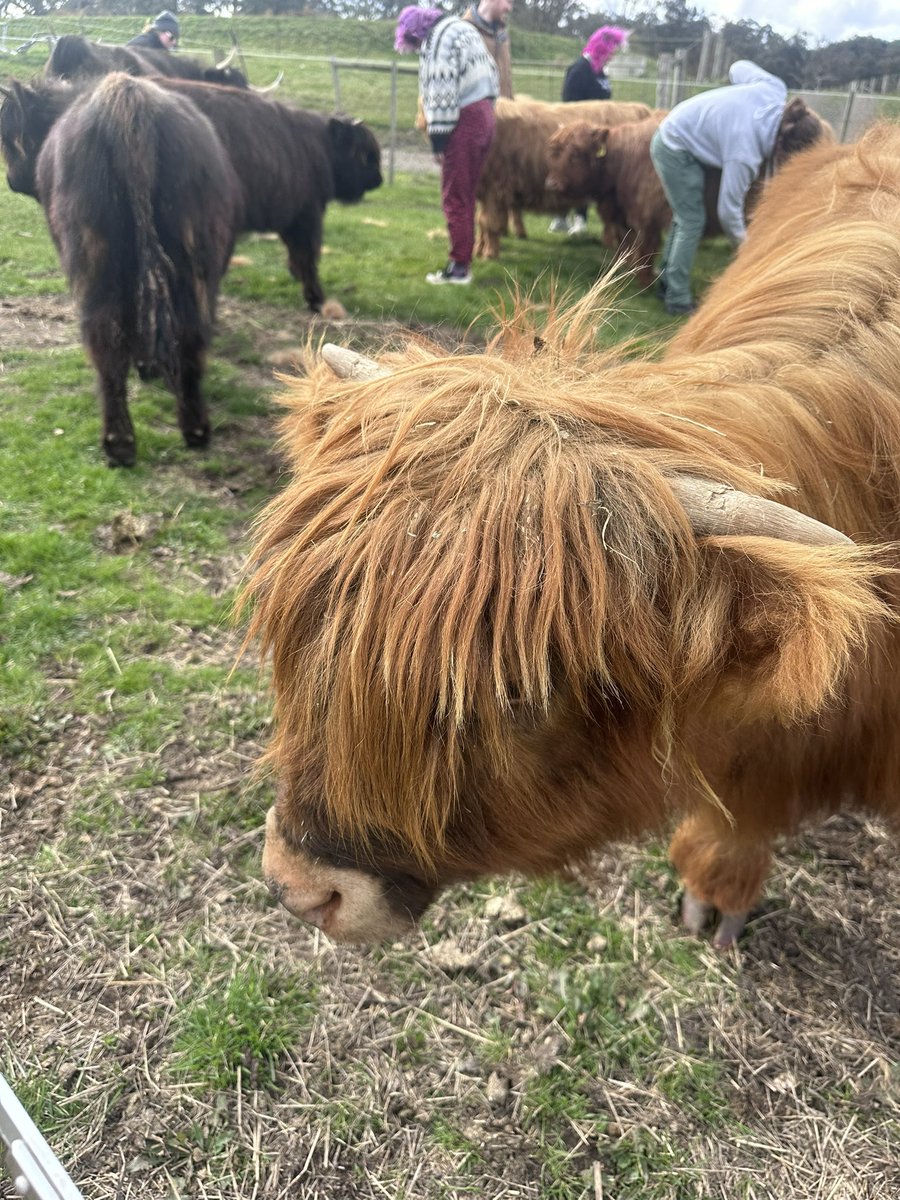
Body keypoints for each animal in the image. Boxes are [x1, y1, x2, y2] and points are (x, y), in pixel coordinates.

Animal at [0, 76, 382, 313]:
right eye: (365, 155)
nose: (378, 179)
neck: (316, 144)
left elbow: (300, 258)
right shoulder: (305, 215)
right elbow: (307, 259)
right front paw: (316, 300)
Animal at [4, 73, 239, 466]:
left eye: (8, 134)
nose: (10, 180)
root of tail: (127, 101)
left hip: (94, 259)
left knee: (104, 339)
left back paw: (119, 443)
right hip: (193, 257)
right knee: (190, 331)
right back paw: (195, 430)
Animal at [474, 95, 653, 259]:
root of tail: (642, 110)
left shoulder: (496, 187)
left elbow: (490, 223)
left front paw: (490, 254)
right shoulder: (484, 190)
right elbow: (481, 221)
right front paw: (479, 249)